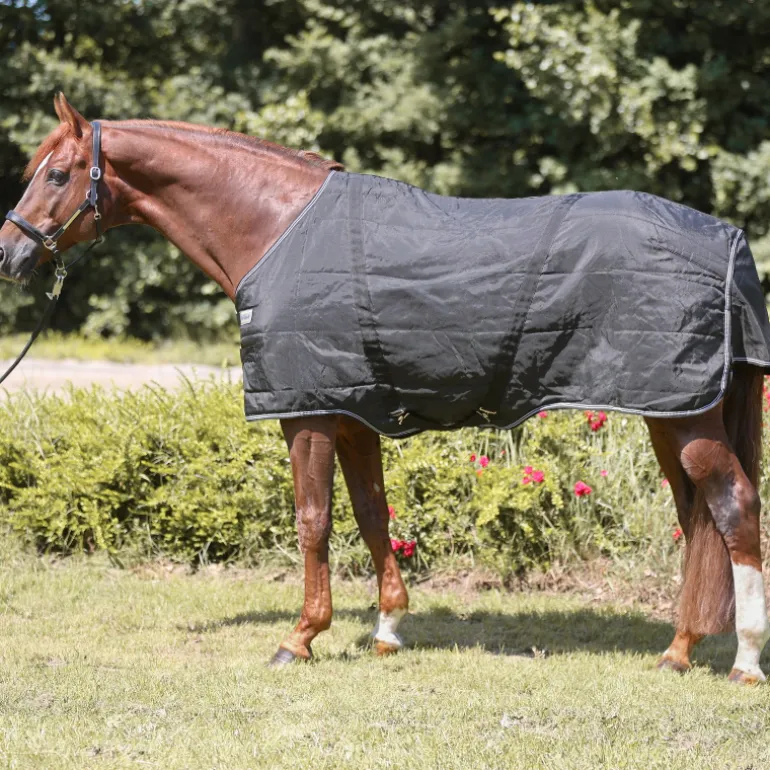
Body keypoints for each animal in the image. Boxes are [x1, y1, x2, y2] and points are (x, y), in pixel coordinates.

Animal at [0, 94, 767, 683]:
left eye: (59, 173)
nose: (10, 254)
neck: (275, 227)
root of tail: (728, 241)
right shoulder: (352, 412)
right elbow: (373, 513)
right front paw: (387, 630)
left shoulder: (306, 413)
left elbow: (313, 520)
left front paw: (299, 638)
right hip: (671, 410)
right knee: (696, 517)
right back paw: (679, 649)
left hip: (682, 414)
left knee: (732, 506)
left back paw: (743, 660)